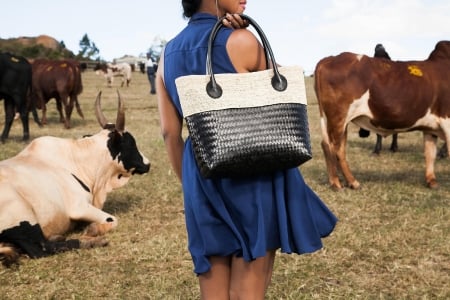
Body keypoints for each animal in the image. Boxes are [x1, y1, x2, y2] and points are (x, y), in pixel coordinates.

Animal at [0, 90, 151, 266]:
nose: (147, 163)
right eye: (131, 143)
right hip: (23, 216)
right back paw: (91, 242)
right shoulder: (79, 207)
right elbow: (113, 220)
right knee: (42, 248)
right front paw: (93, 231)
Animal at [314, 40, 450, 190]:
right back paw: (343, 182)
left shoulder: (430, 127)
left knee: (332, 146)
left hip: (340, 121)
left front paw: (432, 181)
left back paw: (343, 181)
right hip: (339, 117)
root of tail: (329, 59)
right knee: (334, 147)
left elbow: (430, 153)